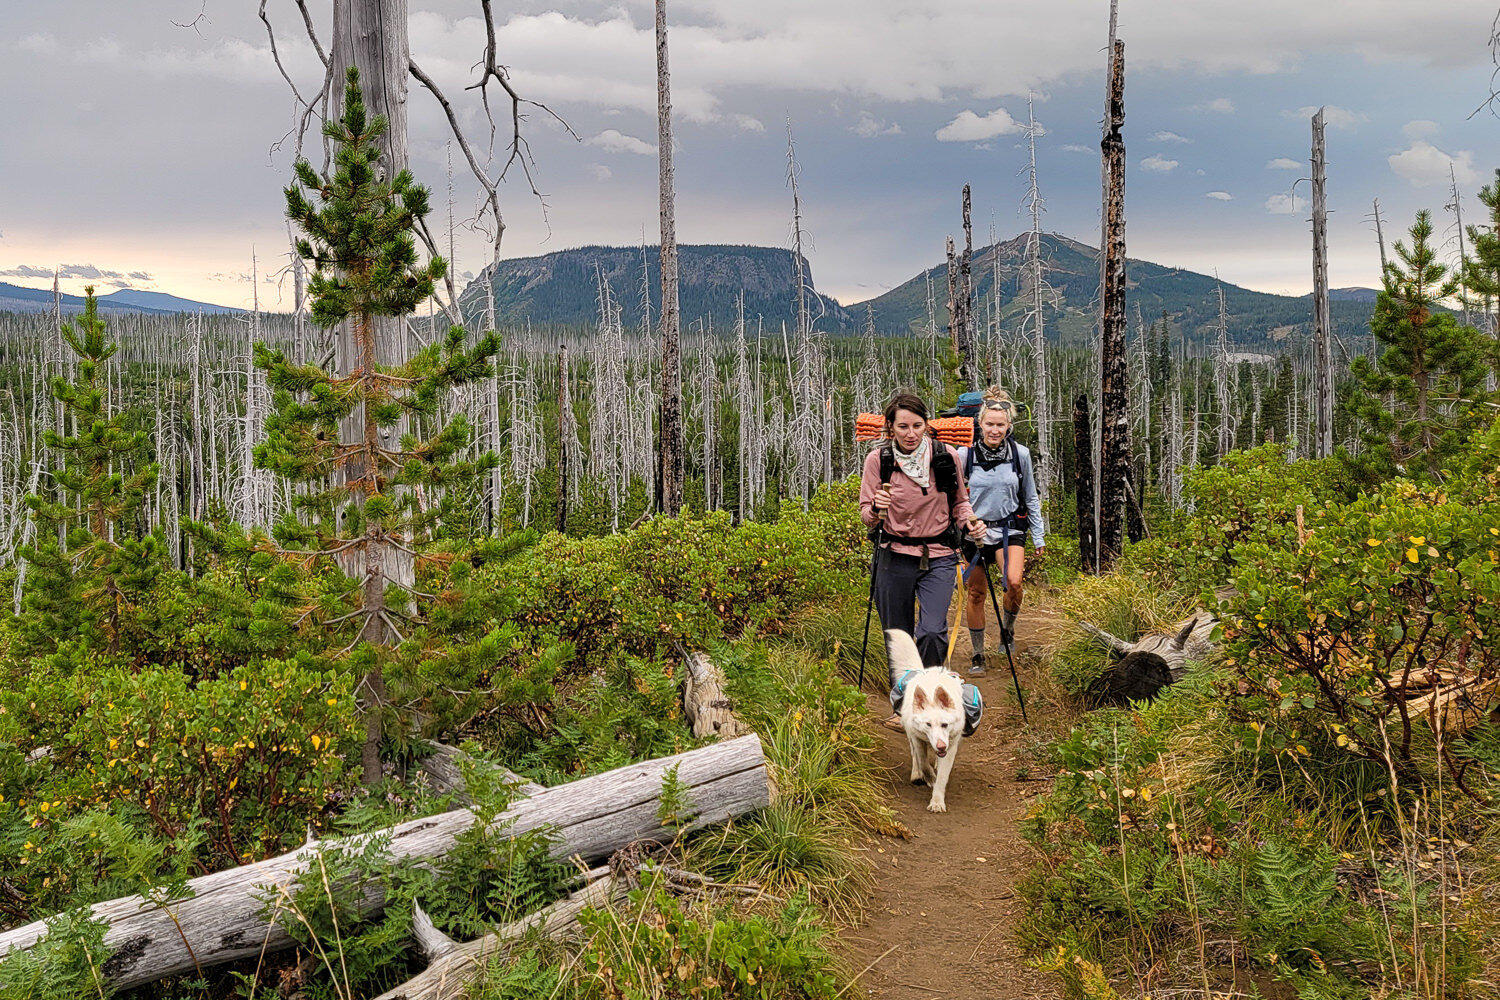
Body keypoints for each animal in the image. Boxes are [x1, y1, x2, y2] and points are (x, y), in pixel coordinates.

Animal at [882, 632, 966, 815]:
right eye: (928, 725)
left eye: (945, 725)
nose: (941, 746)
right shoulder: (917, 737)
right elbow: (922, 761)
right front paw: (929, 777)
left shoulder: (951, 745)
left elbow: (942, 777)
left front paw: (937, 802)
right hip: (909, 732)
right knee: (915, 756)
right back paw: (916, 774)